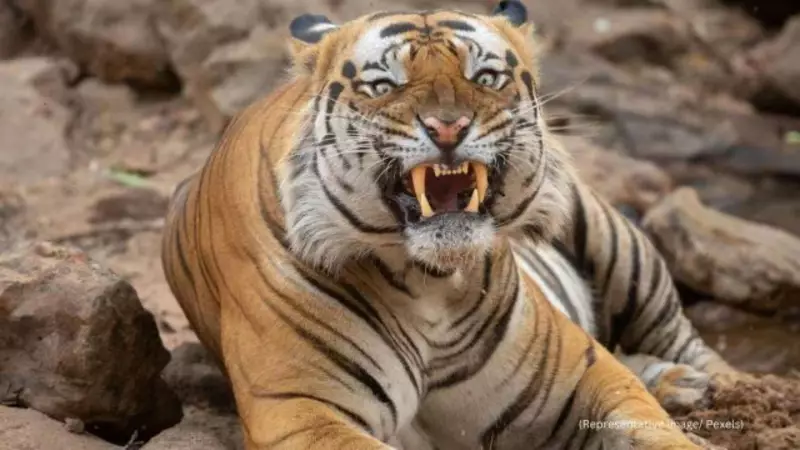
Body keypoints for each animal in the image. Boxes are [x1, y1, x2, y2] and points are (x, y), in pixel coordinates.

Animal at [161, 1, 739, 449]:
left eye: (484, 78)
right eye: (383, 85)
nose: (448, 127)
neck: (429, 284)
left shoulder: (587, 373)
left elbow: (653, 429)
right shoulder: (301, 410)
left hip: (613, 241)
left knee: (686, 339)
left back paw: (717, 387)